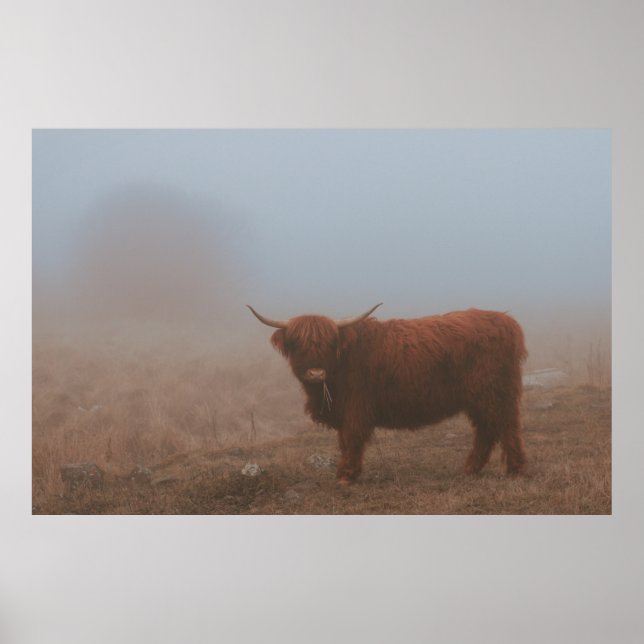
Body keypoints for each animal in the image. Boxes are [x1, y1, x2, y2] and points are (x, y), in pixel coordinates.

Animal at [247, 303, 527, 485]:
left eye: (329, 344)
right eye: (297, 343)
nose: (316, 373)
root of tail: (506, 321)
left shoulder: (356, 408)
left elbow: (352, 438)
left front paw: (346, 475)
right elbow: (344, 440)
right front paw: (348, 472)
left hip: (495, 393)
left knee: (506, 427)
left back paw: (514, 470)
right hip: (480, 398)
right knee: (486, 430)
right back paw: (470, 469)